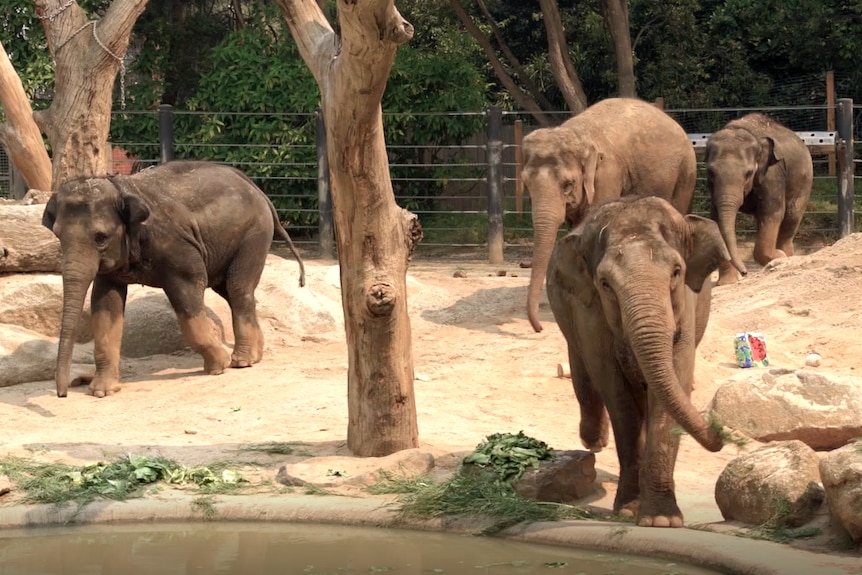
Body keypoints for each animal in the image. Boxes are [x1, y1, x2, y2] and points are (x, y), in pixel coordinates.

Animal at [44, 160, 308, 398]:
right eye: (58, 235)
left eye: (101, 237)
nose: (62, 394)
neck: (121, 187)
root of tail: (256, 188)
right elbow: (105, 304)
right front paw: (102, 391)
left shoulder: (175, 245)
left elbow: (189, 289)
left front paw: (219, 366)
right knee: (230, 290)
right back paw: (254, 355)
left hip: (254, 234)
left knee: (237, 288)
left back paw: (241, 361)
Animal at [524, 98, 700, 332]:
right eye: (526, 184)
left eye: (568, 184)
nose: (539, 328)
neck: (574, 133)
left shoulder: (607, 173)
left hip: (685, 172)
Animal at [548, 196, 728, 528]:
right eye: (605, 283)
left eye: (676, 272)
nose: (721, 431)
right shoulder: (590, 311)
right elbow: (617, 394)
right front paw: (630, 511)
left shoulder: (686, 309)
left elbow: (674, 381)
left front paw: (662, 520)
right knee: (582, 372)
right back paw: (594, 440)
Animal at [704, 113, 812, 286]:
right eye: (710, 172)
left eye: (748, 173)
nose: (745, 272)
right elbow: (716, 217)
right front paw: (727, 283)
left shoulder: (772, 173)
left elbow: (773, 212)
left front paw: (779, 256)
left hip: (804, 181)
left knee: (791, 217)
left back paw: (786, 256)